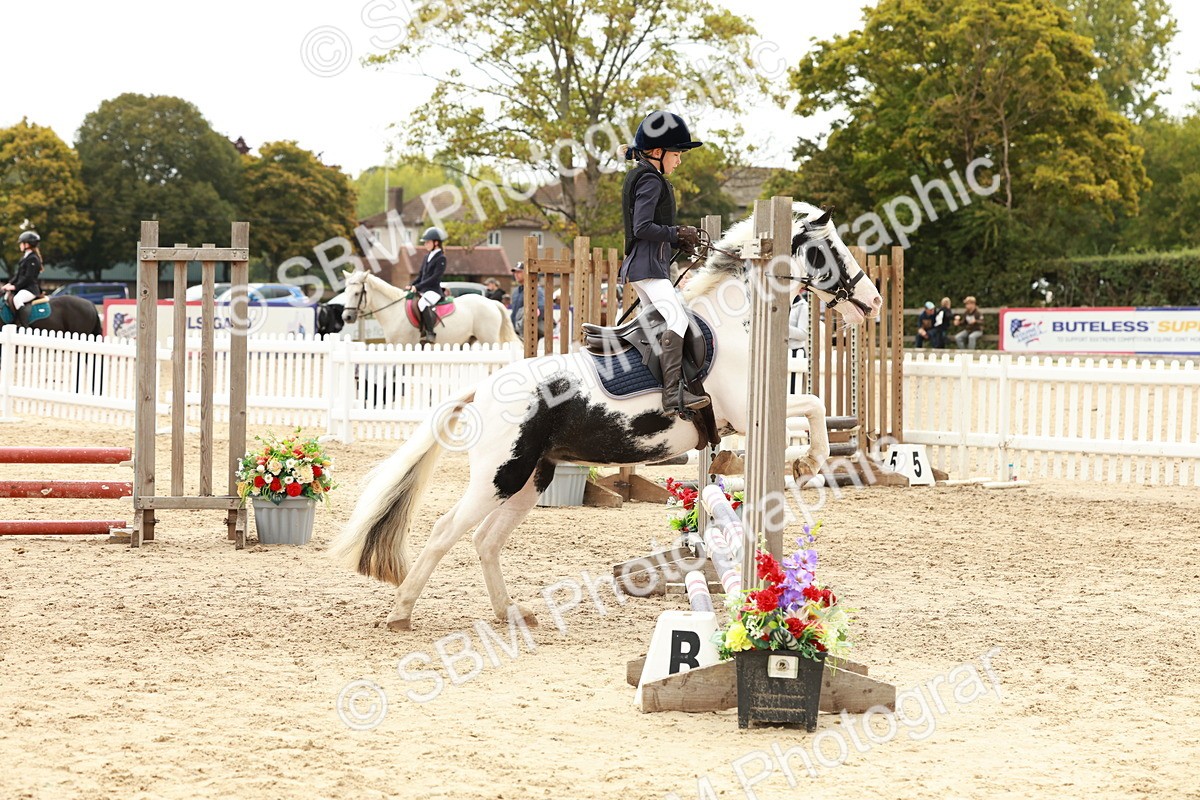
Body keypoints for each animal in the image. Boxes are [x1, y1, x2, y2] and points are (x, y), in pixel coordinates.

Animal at [339, 272, 521, 346]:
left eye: (357, 293)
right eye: (345, 292)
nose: (346, 317)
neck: (394, 311)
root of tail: (492, 302)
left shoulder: (406, 344)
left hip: (489, 339)